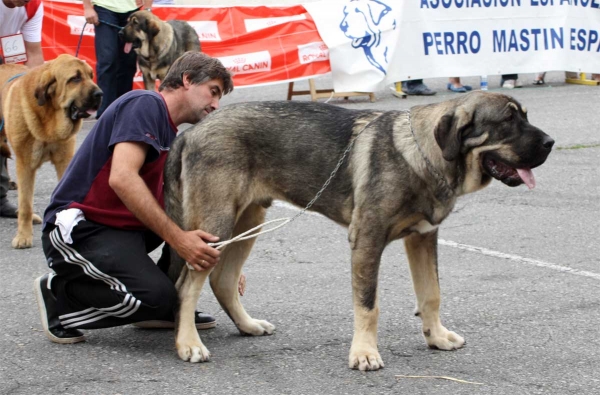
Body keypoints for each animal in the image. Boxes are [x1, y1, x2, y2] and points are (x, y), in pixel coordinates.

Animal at [0, 54, 102, 249]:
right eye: (75, 78)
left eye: (91, 75)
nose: (99, 94)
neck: (49, 117)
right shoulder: (25, 165)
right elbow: (25, 204)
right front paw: (23, 237)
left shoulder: (65, 161)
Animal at [164, 92, 552, 372]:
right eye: (508, 121)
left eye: (526, 116)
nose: (550, 142)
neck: (423, 154)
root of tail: (192, 132)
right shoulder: (367, 240)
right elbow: (368, 305)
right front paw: (364, 354)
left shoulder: (423, 238)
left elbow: (432, 294)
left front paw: (437, 337)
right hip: (216, 226)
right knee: (187, 286)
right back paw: (189, 344)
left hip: (249, 220)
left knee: (223, 280)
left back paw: (247, 326)